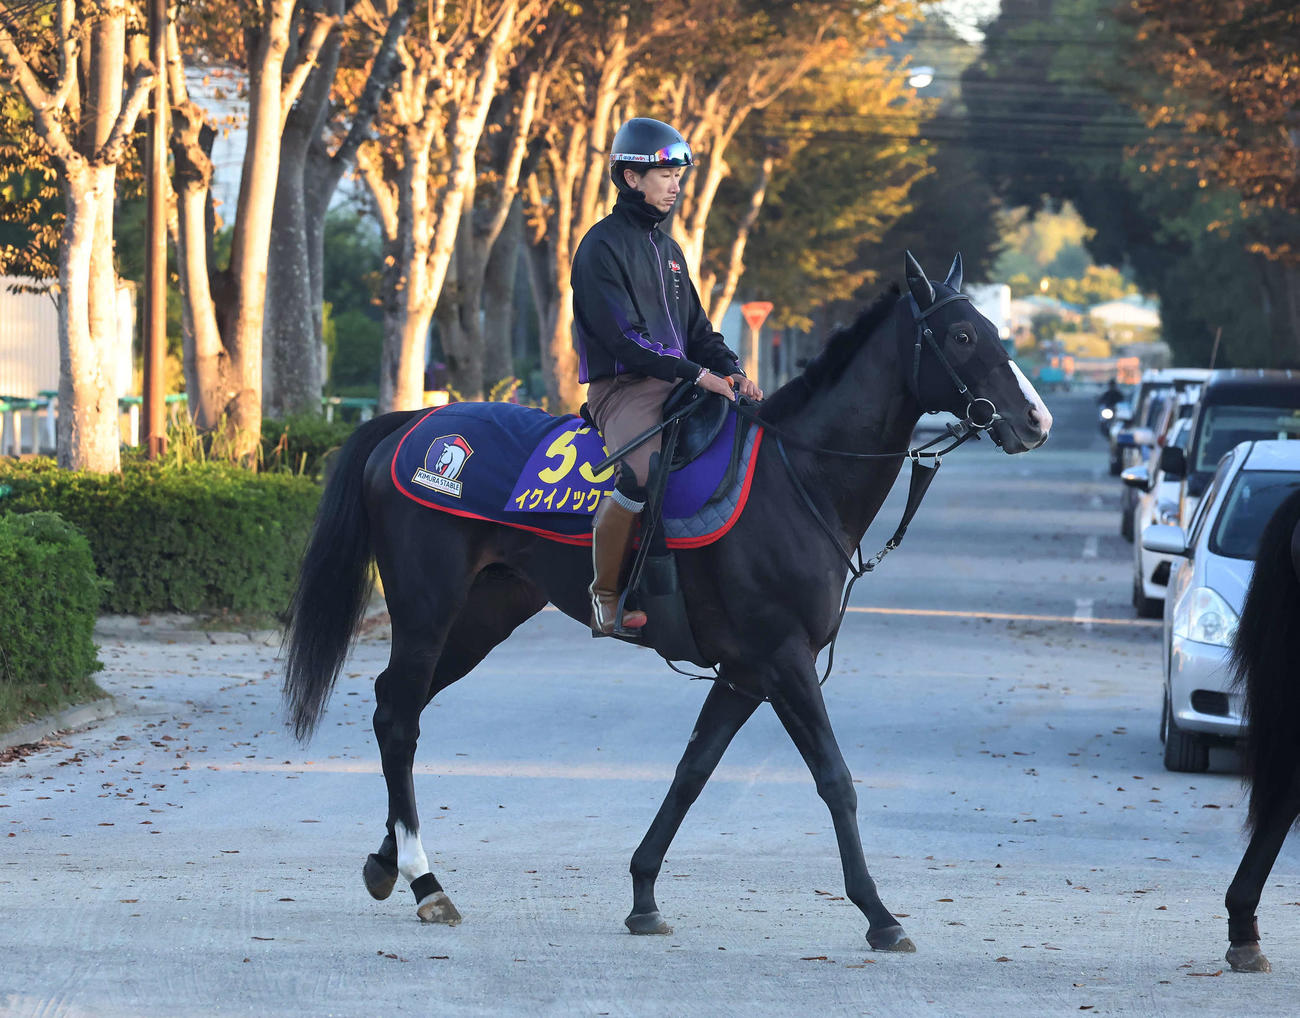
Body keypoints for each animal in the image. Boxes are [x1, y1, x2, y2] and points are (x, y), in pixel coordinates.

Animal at [282, 252, 1053, 951]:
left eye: (994, 328)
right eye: (962, 335)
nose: (1035, 419)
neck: (796, 478)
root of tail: (413, 426)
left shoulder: (745, 673)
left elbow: (692, 772)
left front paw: (644, 893)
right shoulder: (785, 661)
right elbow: (835, 779)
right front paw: (879, 913)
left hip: (481, 617)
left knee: (396, 705)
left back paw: (389, 861)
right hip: (428, 608)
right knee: (400, 718)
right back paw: (424, 880)